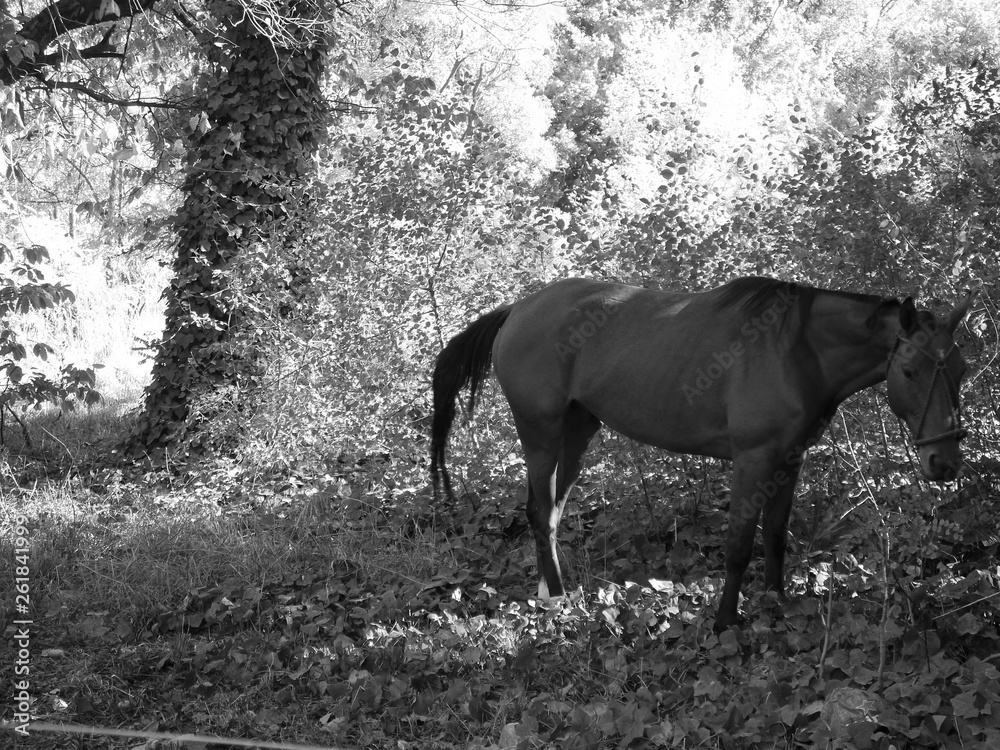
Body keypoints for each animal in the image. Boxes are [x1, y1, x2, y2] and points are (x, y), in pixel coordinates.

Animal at [431, 277, 975, 631]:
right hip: (540, 433)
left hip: (576, 432)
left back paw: (554, 591)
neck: (794, 349)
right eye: (909, 370)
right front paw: (725, 622)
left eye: (961, 369)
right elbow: (738, 545)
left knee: (549, 511)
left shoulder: (789, 460)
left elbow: (776, 536)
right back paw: (557, 601)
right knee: (541, 512)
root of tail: (518, 310)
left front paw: (775, 601)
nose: (944, 463)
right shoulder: (753, 459)